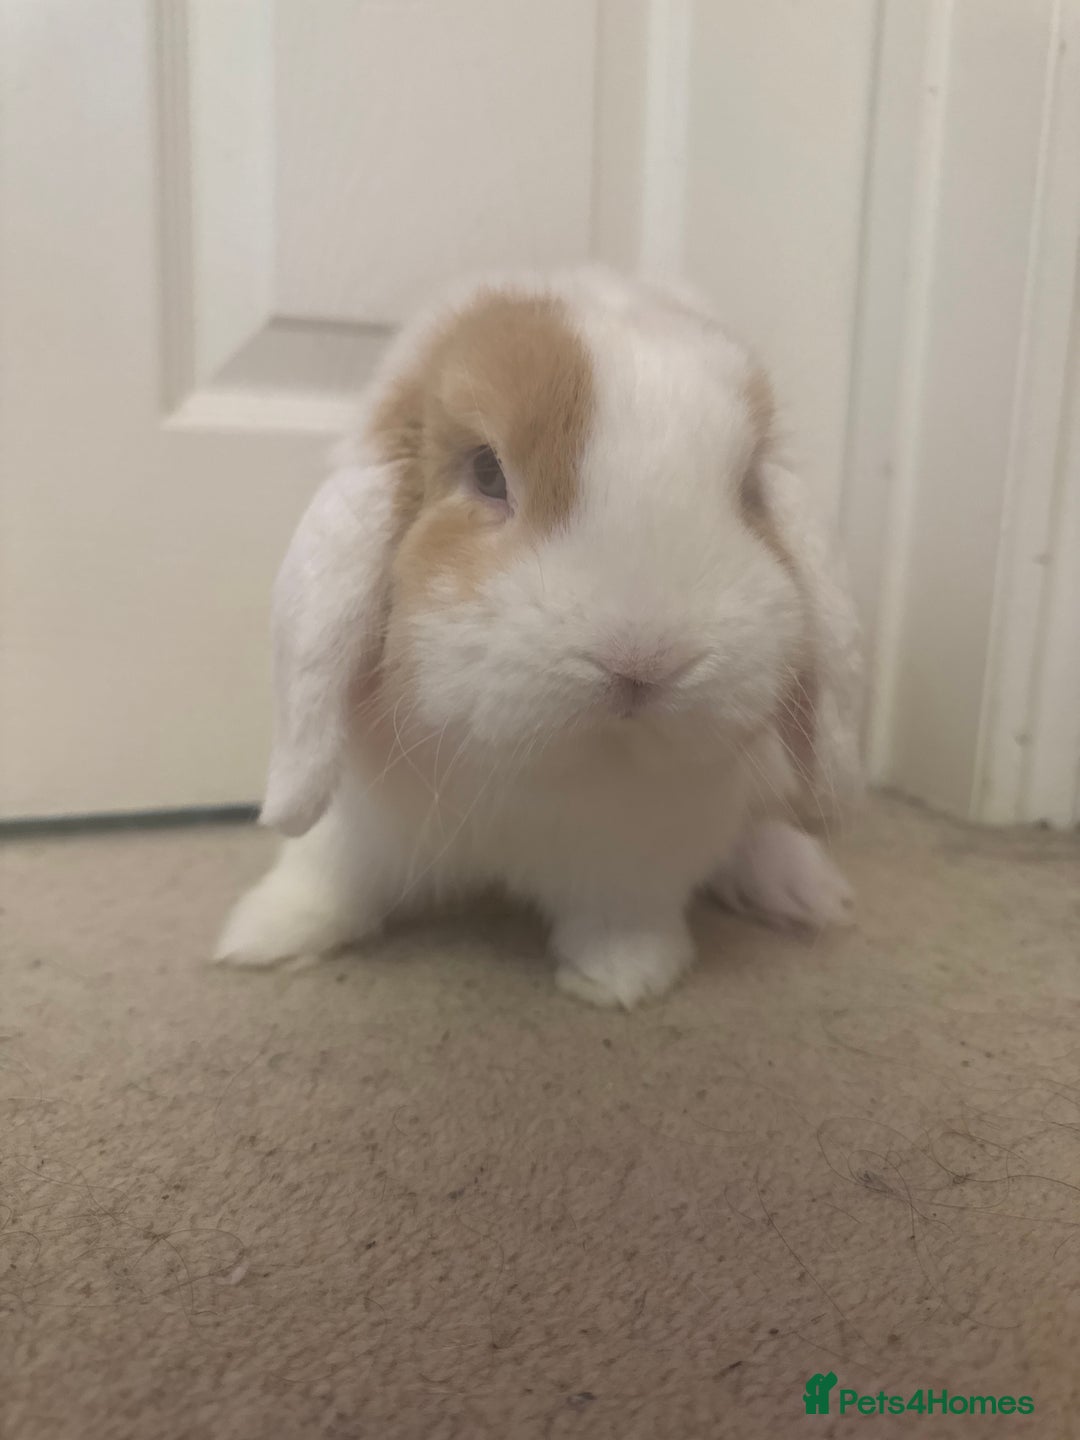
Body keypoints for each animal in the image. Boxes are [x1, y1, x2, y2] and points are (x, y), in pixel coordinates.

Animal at [215, 267, 862, 1008]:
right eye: (486, 472)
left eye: (749, 488)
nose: (644, 660)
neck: (542, 768)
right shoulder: (359, 822)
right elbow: (326, 876)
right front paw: (260, 937)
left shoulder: (642, 856)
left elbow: (623, 917)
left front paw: (621, 980)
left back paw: (806, 893)